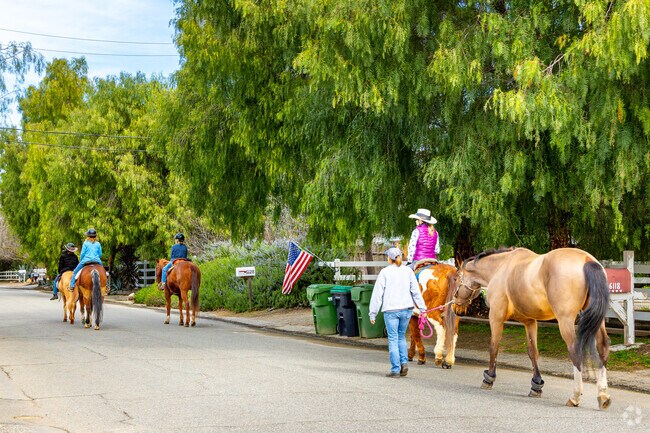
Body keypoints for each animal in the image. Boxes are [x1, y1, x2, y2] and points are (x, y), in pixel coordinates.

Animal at [448, 246, 611, 409]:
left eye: (456, 278)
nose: (456, 307)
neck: (500, 267)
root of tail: (587, 260)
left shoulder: (495, 317)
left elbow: (494, 346)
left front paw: (488, 378)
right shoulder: (530, 321)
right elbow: (533, 352)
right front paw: (536, 385)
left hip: (565, 320)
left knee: (575, 351)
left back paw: (575, 396)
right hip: (598, 321)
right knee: (603, 347)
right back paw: (603, 395)